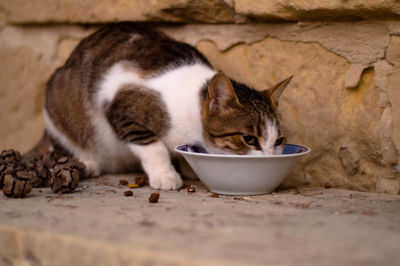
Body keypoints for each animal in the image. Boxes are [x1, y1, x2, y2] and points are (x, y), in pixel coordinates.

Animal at [26, 21, 292, 190]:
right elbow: (153, 146)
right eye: (249, 139)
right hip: (60, 99)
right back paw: (87, 161)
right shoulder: (122, 103)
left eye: (279, 141)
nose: (270, 157)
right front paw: (166, 175)